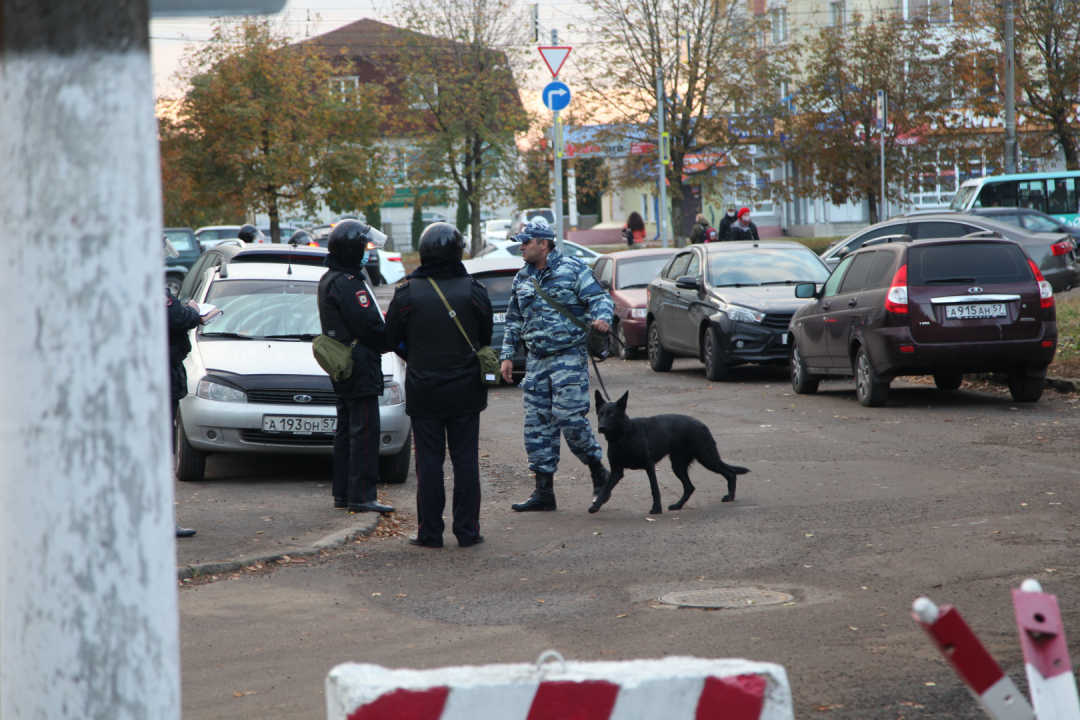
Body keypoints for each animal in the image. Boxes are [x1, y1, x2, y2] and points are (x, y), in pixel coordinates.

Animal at [591, 390, 751, 515]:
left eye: (611, 414)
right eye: (600, 414)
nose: (601, 427)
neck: (623, 437)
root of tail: (702, 424)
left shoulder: (649, 466)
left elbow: (654, 488)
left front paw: (656, 508)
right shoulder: (616, 471)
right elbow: (604, 489)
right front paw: (596, 506)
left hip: (707, 458)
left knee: (730, 472)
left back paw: (730, 496)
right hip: (679, 465)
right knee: (689, 487)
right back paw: (678, 505)